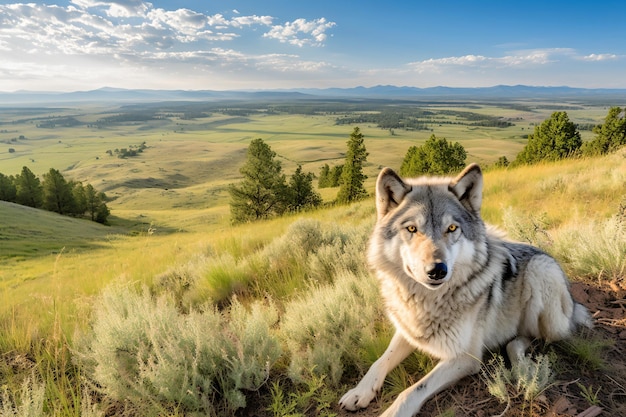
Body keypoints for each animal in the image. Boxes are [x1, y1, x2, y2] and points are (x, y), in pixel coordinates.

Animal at [338, 163, 588, 416]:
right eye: (412, 228)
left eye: (451, 228)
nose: (437, 270)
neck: (428, 301)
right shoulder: (409, 331)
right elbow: (380, 361)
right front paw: (359, 392)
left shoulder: (464, 358)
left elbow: (413, 390)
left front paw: (392, 411)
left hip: (541, 275)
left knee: (529, 338)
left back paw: (520, 364)